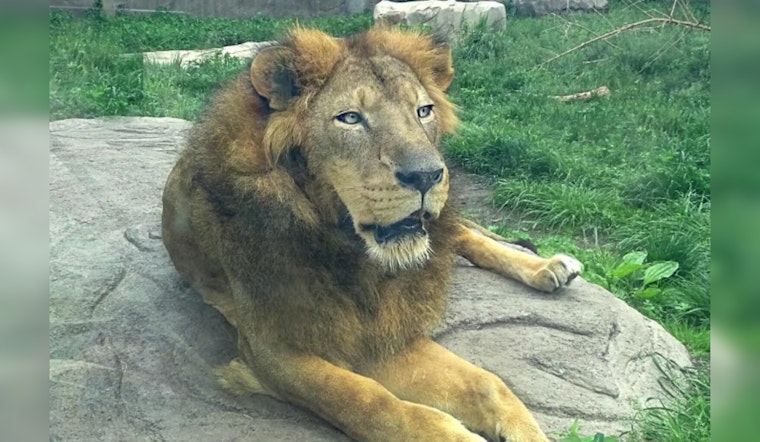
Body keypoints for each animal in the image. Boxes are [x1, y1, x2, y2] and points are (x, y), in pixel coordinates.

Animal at [161, 27, 581, 442]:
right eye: (350, 118)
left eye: (423, 111)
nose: (427, 175)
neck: (353, 251)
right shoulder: (270, 346)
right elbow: (365, 400)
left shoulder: (384, 327)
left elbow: (487, 383)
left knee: (464, 235)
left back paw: (549, 266)